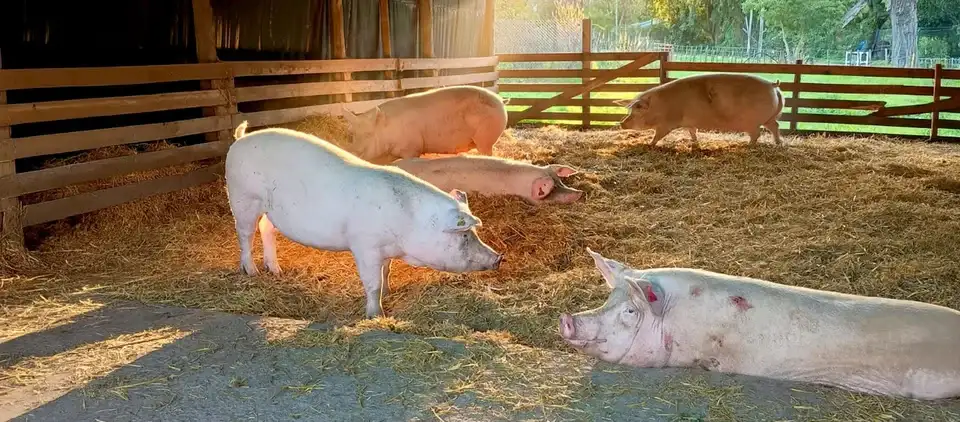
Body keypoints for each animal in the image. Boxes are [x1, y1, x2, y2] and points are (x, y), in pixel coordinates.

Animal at [225, 121, 503, 318]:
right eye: (464, 234)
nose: (499, 257)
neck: (410, 224)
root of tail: (240, 139)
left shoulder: (386, 249)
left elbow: (386, 271)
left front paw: (390, 290)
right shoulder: (365, 246)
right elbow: (372, 283)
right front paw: (376, 315)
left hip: (271, 209)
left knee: (266, 229)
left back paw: (276, 270)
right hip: (242, 197)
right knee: (244, 233)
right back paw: (251, 272)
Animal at [340, 85, 510, 165]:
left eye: (369, 134)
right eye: (350, 135)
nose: (352, 152)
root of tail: (501, 101)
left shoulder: (412, 148)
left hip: (486, 138)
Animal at [614, 73, 784, 148]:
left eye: (637, 111)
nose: (621, 123)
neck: (659, 107)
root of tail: (772, 85)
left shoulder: (667, 124)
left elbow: (658, 135)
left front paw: (649, 144)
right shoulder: (689, 122)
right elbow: (692, 132)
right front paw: (695, 143)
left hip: (752, 122)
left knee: (757, 134)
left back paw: (747, 145)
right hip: (769, 118)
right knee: (775, 126)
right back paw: (778, 143)